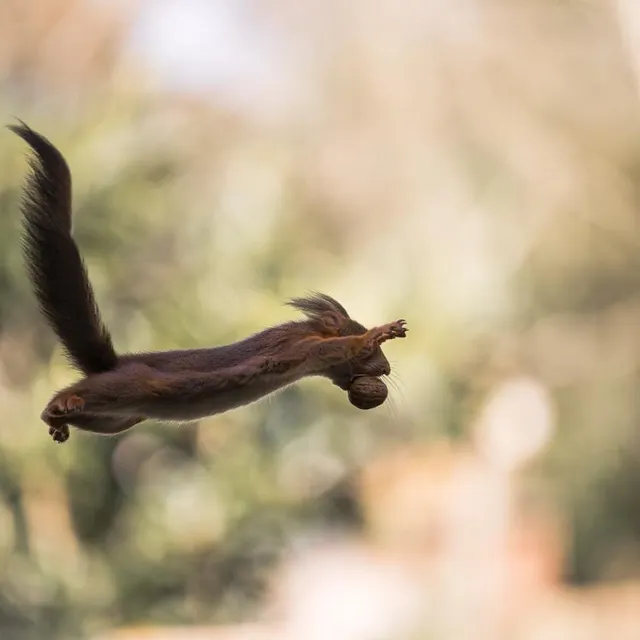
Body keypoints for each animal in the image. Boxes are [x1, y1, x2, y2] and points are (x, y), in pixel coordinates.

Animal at [9, 121, 408, 444]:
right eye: (362, 335)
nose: (387, 370)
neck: (307, 335)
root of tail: (112, 365)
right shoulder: (299, 348)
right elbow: (337, 347)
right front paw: (382, 331)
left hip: (118, 418)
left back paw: (59, 422)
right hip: (125, 387)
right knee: (74, 394)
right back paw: (58, 405)